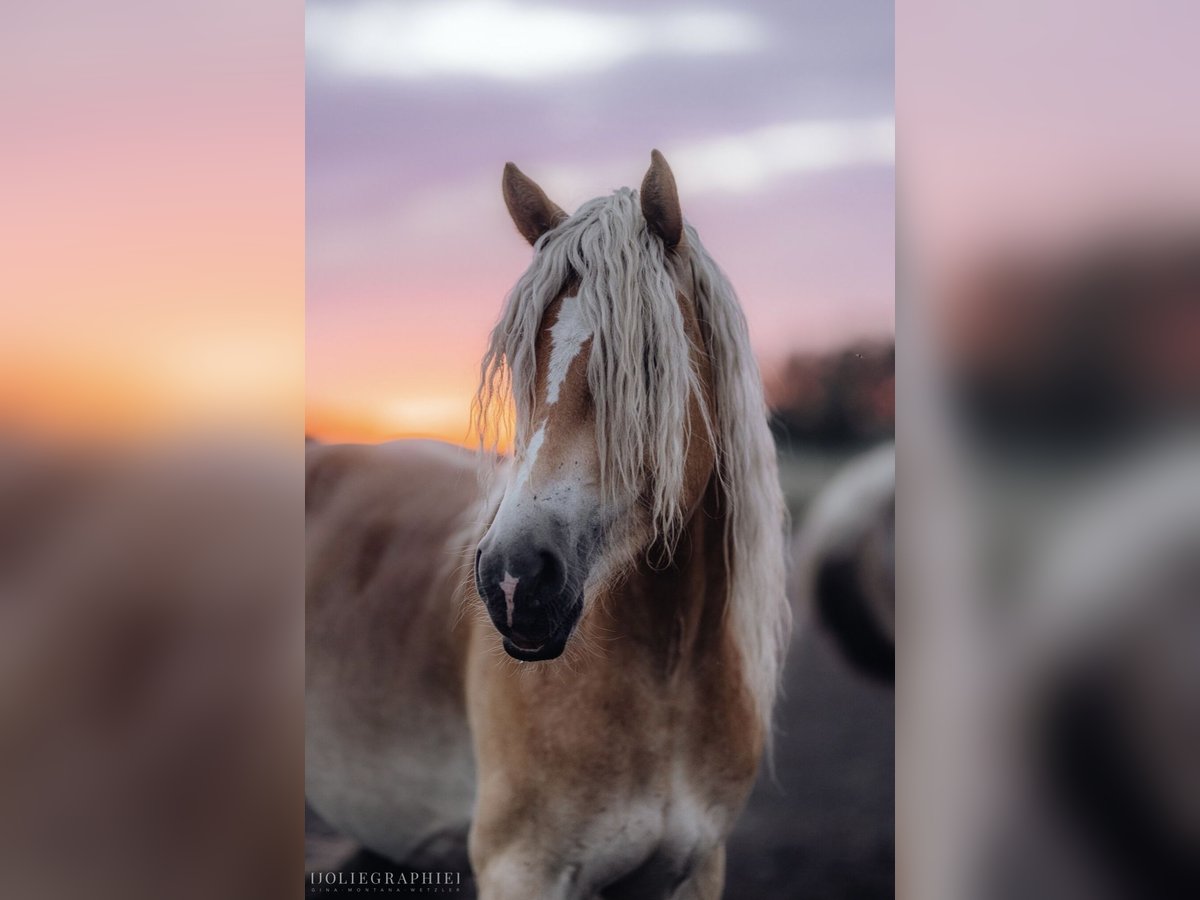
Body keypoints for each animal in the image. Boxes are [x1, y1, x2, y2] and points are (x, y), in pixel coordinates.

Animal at [304, 151, 792, 897]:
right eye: (522, 359)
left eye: (648, 362)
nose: (514, 580)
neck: (668, 679)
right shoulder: (523, 868)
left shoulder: (694, 869)